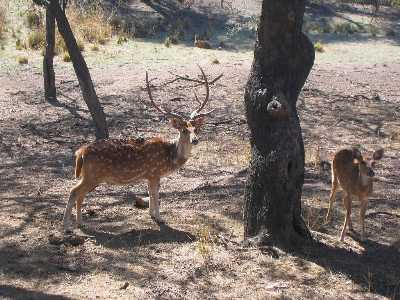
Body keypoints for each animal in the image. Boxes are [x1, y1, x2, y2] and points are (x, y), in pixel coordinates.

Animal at [61, 67, 222, 233]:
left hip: (88, 175)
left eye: (196, 129)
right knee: (73, 191)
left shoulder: (149, 176)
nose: (195, 140)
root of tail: (80, 152)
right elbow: (155, 194)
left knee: (80, 194)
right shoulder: (154, 172)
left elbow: (150, 193)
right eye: (183, 130)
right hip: (93, 175)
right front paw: (159, 218)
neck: (170, 156)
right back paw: (66, 226)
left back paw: (81, 223)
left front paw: (151, 214)